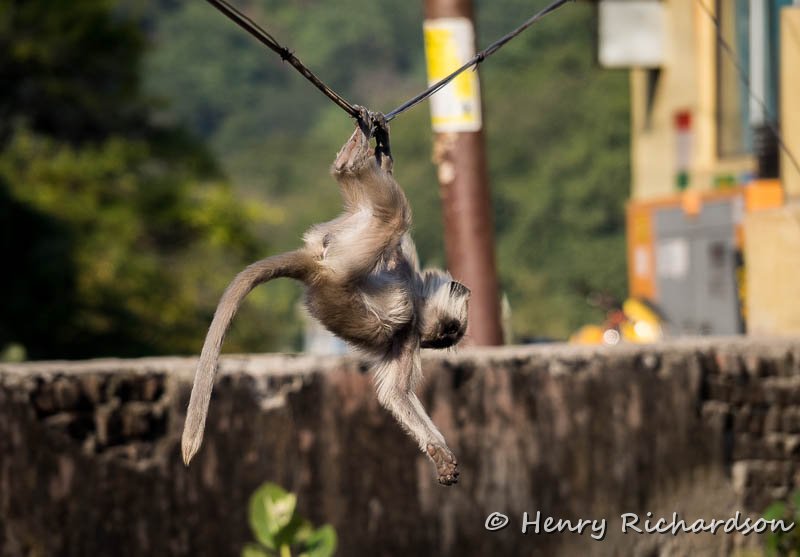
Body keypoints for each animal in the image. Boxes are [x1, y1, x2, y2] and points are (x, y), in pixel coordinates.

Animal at [181, 109, 469, 485]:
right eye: (454, 325)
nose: (463, 289)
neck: (418, 305)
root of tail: (314, 270)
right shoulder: (406, 289)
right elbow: (397, 254)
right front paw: (385, 153)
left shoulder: (407, 332)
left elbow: (394, 395)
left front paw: (439, 453)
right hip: (341, 248)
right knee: (395, 220)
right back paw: (358, 154)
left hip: (345, 257)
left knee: (393, 217)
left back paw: (350, 163)